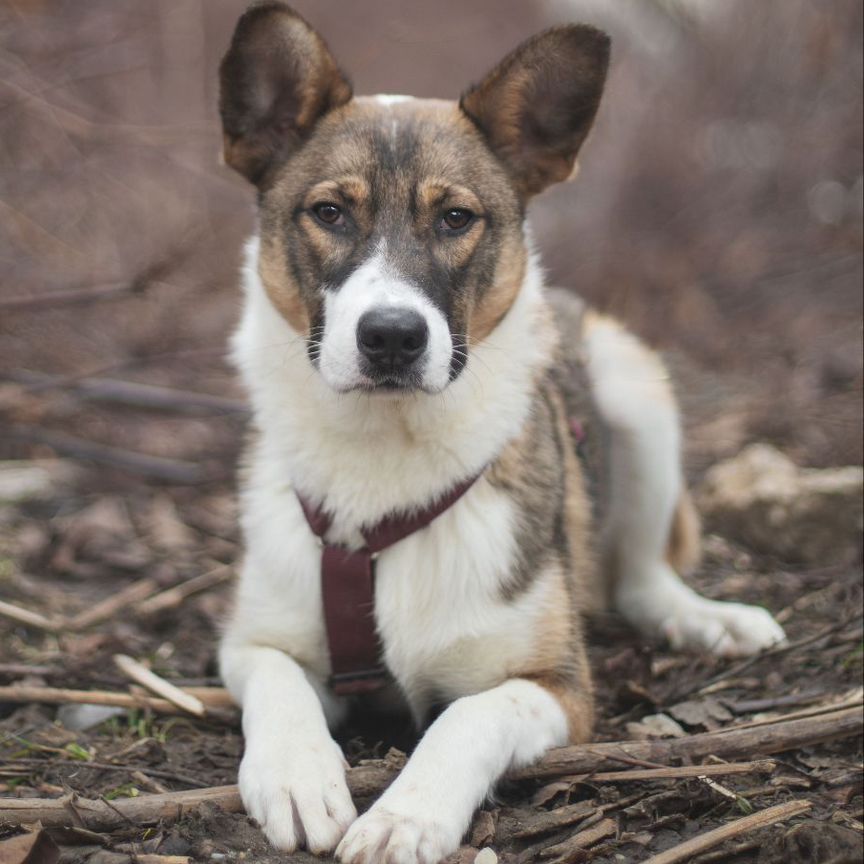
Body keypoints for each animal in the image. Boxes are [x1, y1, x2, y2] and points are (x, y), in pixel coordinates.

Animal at [214, 3, 784, 860]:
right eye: (329, 213)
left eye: (456, 218)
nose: (391, 337)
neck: (387, 457)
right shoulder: (251, 643)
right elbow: (280, 685)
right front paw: (296, 773)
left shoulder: (558, 689)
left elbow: (466, 717)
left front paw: (407, 815)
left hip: (636, 390)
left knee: (641, 577)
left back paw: (706, 618)